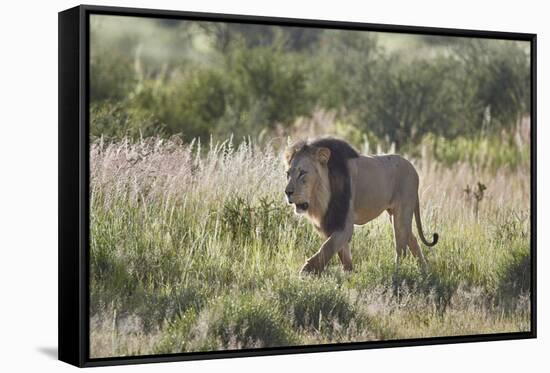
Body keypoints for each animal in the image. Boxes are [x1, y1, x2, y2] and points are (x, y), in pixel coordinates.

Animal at [284, 137, 440, 274]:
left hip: (401, 215)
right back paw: (424, 271)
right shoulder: (332, 221)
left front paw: (306, 271)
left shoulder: (345, 224)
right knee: (412, 239)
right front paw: (348, 272)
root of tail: (414, 169)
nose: (287, 192)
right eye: (288, 174)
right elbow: (342, 253)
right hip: (394, 215)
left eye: (302, 173)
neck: (320, 197)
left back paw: (398, 272)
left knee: (401, 248)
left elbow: (327, 247)